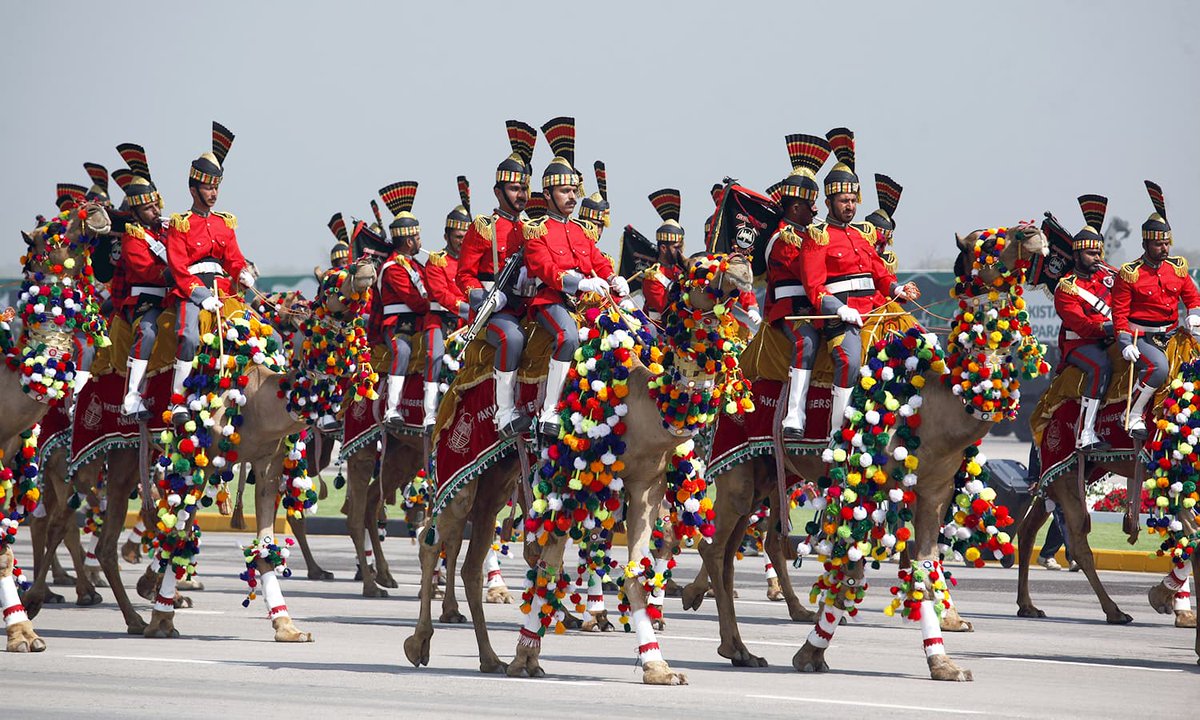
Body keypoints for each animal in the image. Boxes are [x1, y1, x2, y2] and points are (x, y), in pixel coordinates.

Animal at [408, 253, 753, 686]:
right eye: (699, 267)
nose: (742, 267)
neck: (638, 400)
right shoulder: (567, 477)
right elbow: (549, 564)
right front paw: (526, 657)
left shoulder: (646, 485)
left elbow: (634, 574)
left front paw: (658, 667)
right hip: (460, 456)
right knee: (434, 540)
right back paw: (419, 645)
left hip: (498, 475)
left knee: (472, 557)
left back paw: (489, 659)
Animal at [691, 225, 1046, 681]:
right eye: (981, 243)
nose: (1032, 233)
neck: (935, 399)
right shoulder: (869, 482)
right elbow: (853, 571)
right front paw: (810, 654)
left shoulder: (935, 490)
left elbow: (923, 566)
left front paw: (944, 662)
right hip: (738, 465)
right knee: (717, 547)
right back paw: (735, 643)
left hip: (765, 475)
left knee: (737, 546)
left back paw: (734, 644)